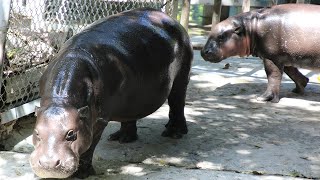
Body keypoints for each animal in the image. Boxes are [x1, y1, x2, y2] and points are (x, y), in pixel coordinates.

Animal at [29, 8, 192, 179]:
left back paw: (174, 133)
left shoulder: (98, 120)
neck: (61, 101)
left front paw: (81, 174)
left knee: (177, 102)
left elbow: (90, 145)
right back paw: (122, 138)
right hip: (132, 96)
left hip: (181, 77)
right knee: (130, 115)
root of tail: (172, 20)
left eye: (71, 133)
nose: (48, 165)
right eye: (36, 133)